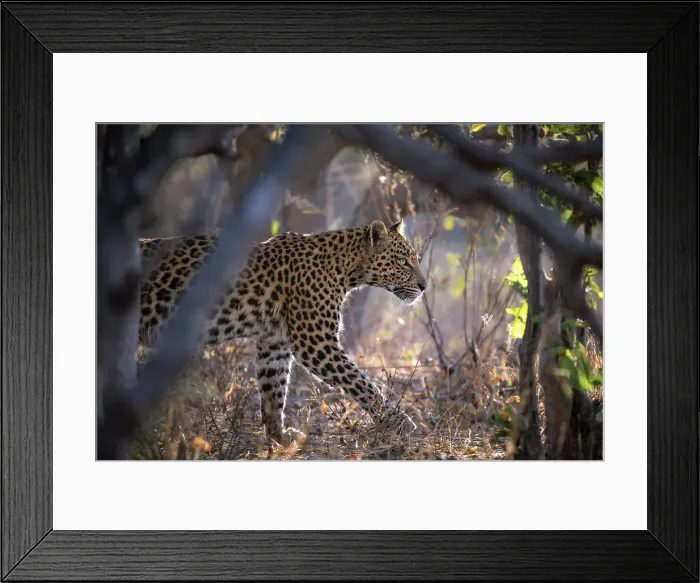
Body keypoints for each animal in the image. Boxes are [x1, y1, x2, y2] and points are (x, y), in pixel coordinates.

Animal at [139, 218, 426, 445]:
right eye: (403, 262)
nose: (424, 286)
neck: (346, 270)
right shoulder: (316, 344)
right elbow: (361, 382)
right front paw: (398, 421)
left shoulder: (274, 342)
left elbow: (274, 389)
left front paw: (280, 436)